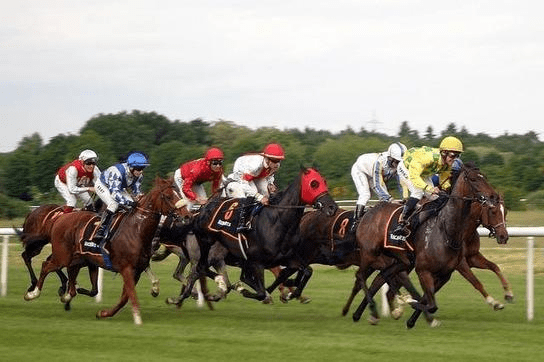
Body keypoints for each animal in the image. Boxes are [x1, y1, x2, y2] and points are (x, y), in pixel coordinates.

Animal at [23, 178, 187, 326]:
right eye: (168, 196)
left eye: (179, 193)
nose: (186, 215)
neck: (136, 229)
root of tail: (59, 218)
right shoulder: (126, 269)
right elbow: (131, 295)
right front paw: (138, 319)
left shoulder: (136, 271)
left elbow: (124, 298)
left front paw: (104, 313)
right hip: (61, 256)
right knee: (45, 265)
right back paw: (33, 293)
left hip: (76, 260)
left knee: (67, 276)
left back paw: (66, 295)